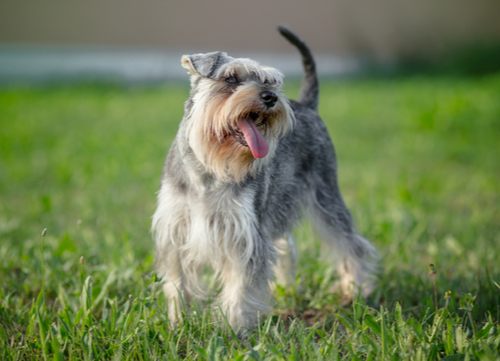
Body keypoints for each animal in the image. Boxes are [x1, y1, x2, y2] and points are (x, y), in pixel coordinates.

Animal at [152, 26, 378, 330]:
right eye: (231, 78)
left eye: (270, 81)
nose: (271, 97)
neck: (209, 170)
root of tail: (308, 105)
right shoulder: (176, 231)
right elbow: (178, 283)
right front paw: (178, 322)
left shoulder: (245, 235)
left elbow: (240, 286)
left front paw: (231, 328)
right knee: (286, 247)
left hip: (326, 196)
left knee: (351, 244)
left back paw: (356, 290)